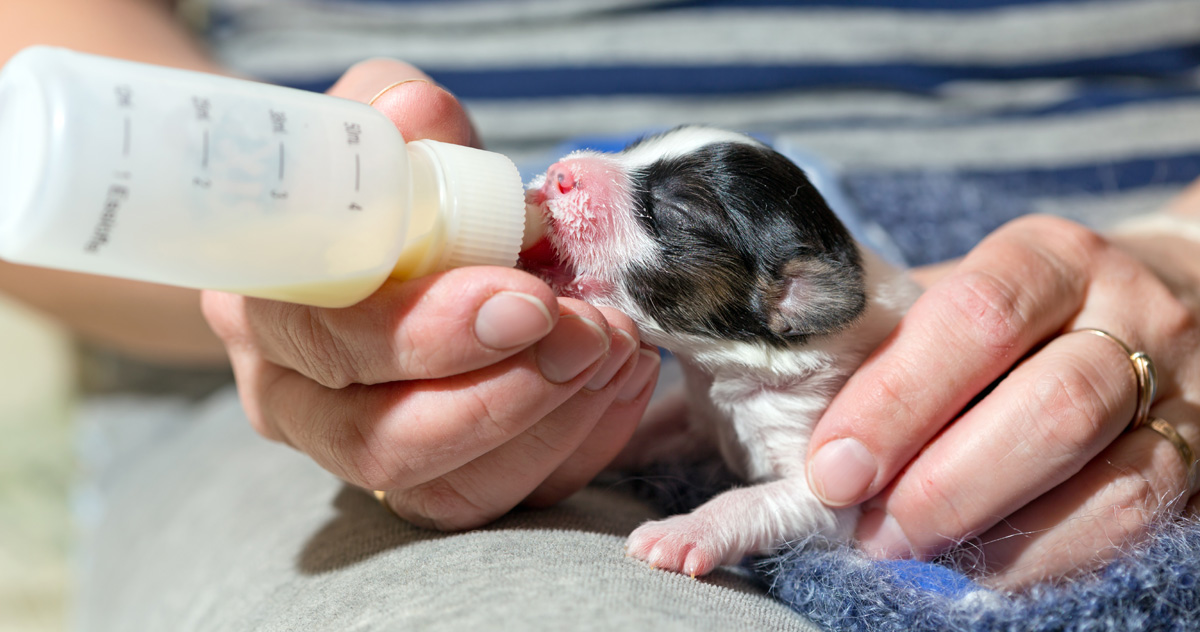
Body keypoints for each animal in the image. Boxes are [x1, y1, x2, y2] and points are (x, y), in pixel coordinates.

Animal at [518, 127, 916, 578]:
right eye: (631, 148)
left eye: (676, 211)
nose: (559, 172)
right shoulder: (698, 411)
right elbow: (656, 426)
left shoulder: (828, 483)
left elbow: (751, 500)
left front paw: (681, 533)